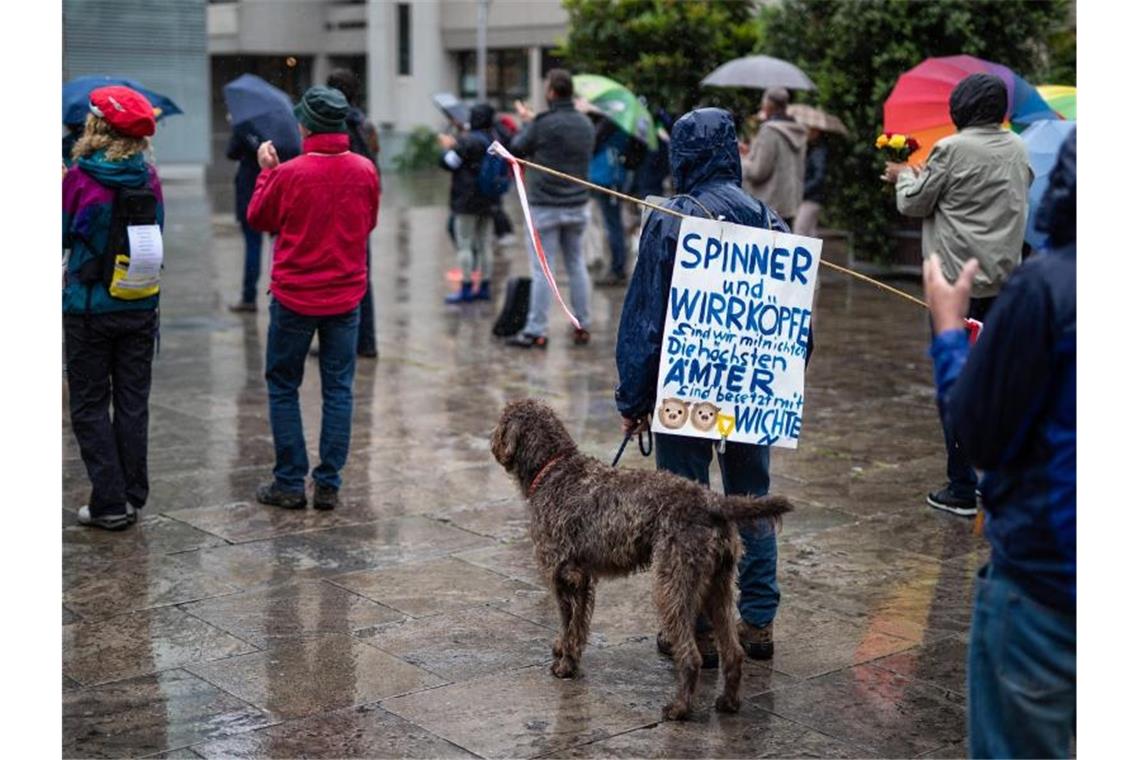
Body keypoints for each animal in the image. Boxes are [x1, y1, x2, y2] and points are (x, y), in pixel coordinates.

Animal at [490, 398, 793, 720]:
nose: (491, 441)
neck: (554, 469)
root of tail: (712, 502)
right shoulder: (582, 579)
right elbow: (577, 626)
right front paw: (566, 651)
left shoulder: (563, 575)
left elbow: (567, 622)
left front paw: (565, 665)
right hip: (717, 586)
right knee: (734, 653)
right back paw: (729, 702)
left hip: (671, 584)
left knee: (692, 657)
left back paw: (679, 708)